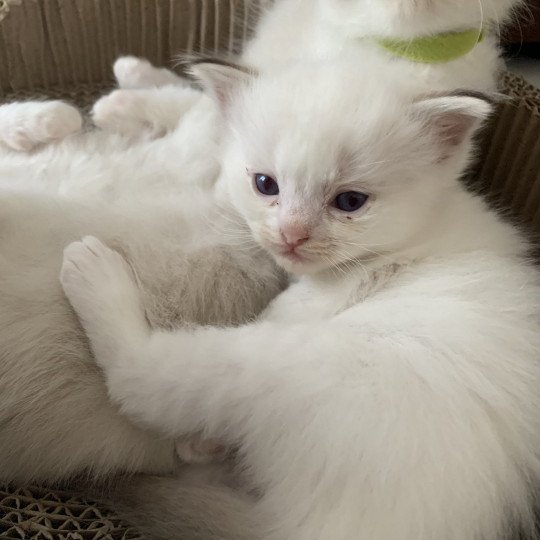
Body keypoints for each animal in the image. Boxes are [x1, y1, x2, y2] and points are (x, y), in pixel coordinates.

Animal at [60, 61, 540, 536]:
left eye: (350, 201)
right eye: (264, 184)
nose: (292, 234)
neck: (421, 230)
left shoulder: (312, 303)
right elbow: (207, 111)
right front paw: (132, 86)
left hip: (285, 361)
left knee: (136, 380)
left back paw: (93, 270)